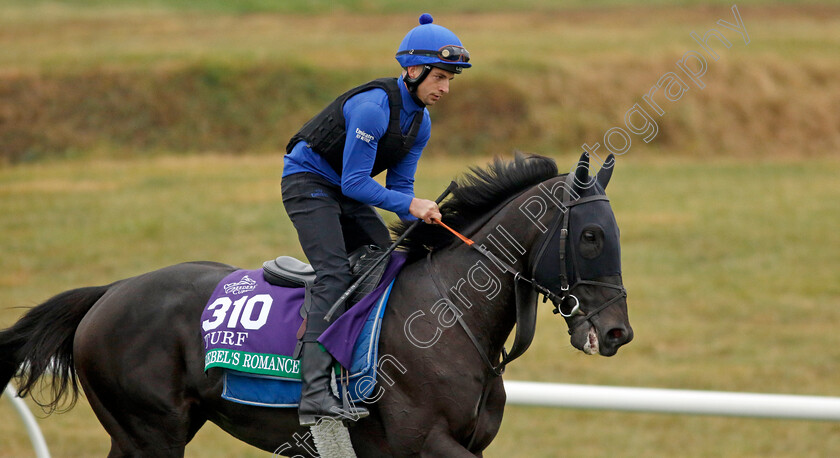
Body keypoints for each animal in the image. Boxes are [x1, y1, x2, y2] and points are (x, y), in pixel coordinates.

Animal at [0, 152, 632, 456]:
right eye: (590, 237)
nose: (617, 333)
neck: (452, 315)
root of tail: (109, 292)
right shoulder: (425, 442)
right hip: (150, 433)